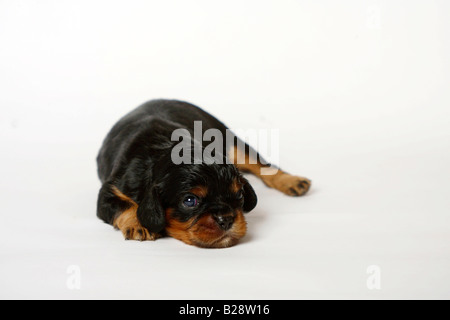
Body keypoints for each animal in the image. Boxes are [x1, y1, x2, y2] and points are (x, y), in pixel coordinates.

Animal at [96, 99, 312, 248]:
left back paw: (293, 181)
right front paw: (140, 224)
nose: (227, 220)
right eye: (190, 201)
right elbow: (125, 206)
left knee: (261, 163)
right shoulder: (109, 192)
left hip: (230, 140)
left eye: (239, 194)